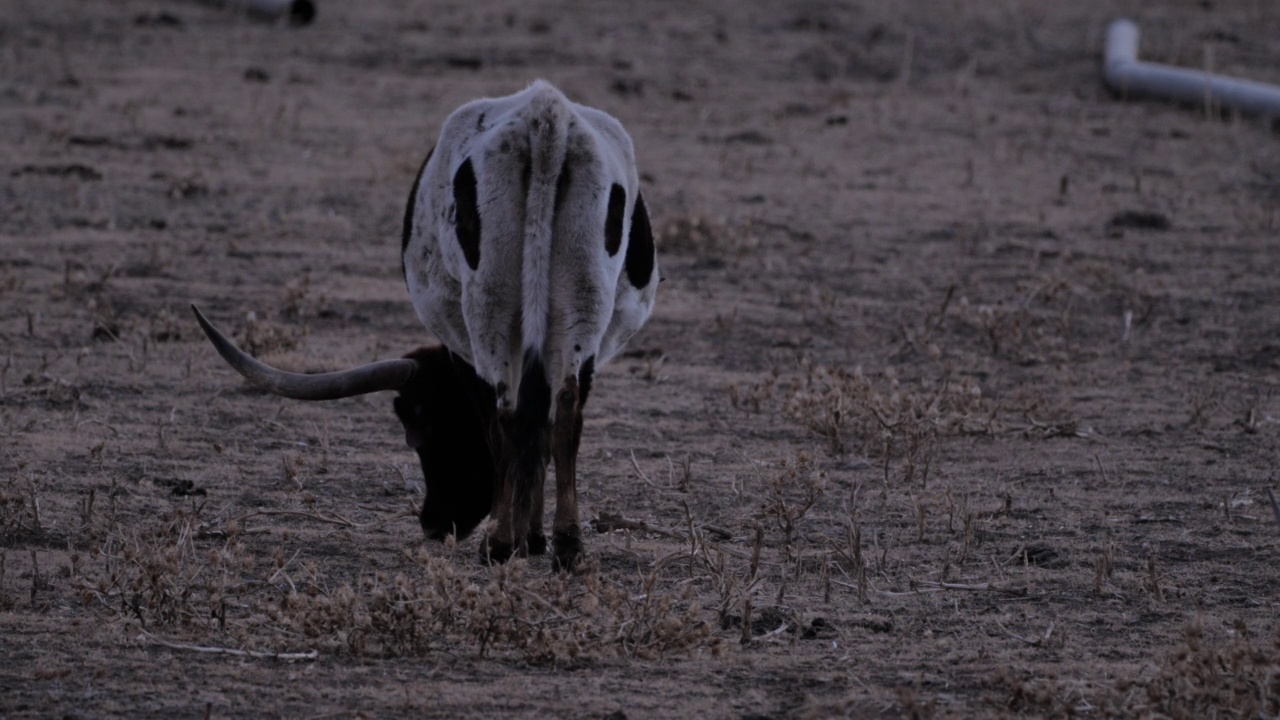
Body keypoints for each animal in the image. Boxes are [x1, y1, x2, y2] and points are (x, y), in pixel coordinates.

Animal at [199, 79, 660, 571]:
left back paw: (500, 542)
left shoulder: (463, 353)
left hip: (488, 302)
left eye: (421, 430)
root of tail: (546, 118)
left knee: (505, 414)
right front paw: (535, 537)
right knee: (561, 413)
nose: (434, 523)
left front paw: (520, 537)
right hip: (583, 297)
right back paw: (567, 544)